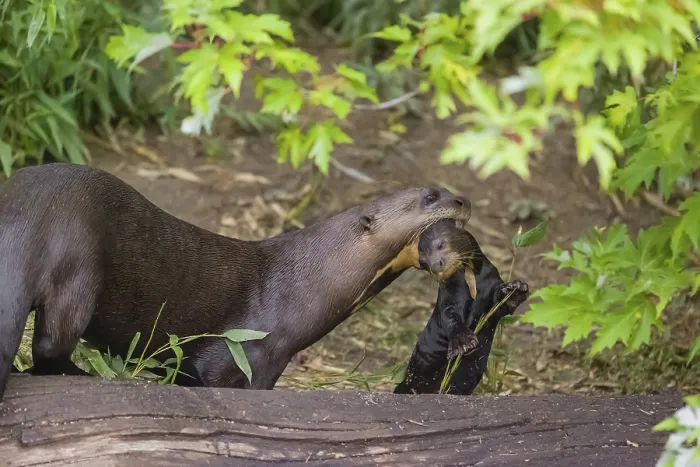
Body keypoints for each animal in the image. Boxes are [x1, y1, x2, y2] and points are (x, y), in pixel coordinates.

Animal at [0, 163, 470, 400]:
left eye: (446, 190)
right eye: (430, 197)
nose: (463, 200)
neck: (301, 283)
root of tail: (25, 215)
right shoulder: (252, 352)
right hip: (80, 263)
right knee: (50, 345)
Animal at [394, 221, 529, 395]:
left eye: (441, 244)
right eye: (423, 263)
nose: (435, 265)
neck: (474, 287)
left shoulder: (492, 283)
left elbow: (502, 305)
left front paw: (516, 289)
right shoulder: (449, 299)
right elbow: (450, 318)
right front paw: (462, 342)